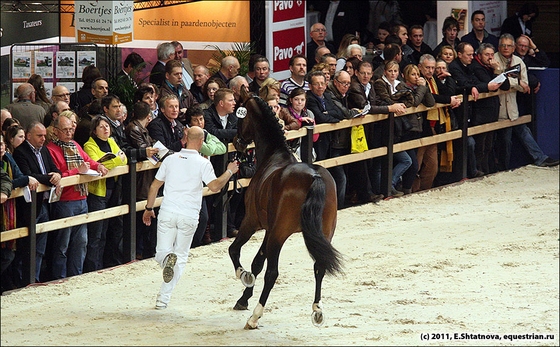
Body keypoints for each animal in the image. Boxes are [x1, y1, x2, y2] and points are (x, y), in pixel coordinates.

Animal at [228, 88, 342, 330]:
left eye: (240, 116)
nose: (237, 142)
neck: (273, 155)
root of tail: (315, 177)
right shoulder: (269, 228)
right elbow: (257, 262)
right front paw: (244, 298)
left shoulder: (253, 222)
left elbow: (236, 252)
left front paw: (244, 278)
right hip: (323, 233)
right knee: (319, 267)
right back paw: (317, 310)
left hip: (279, 234)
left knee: (272, 273)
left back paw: (255, 317)